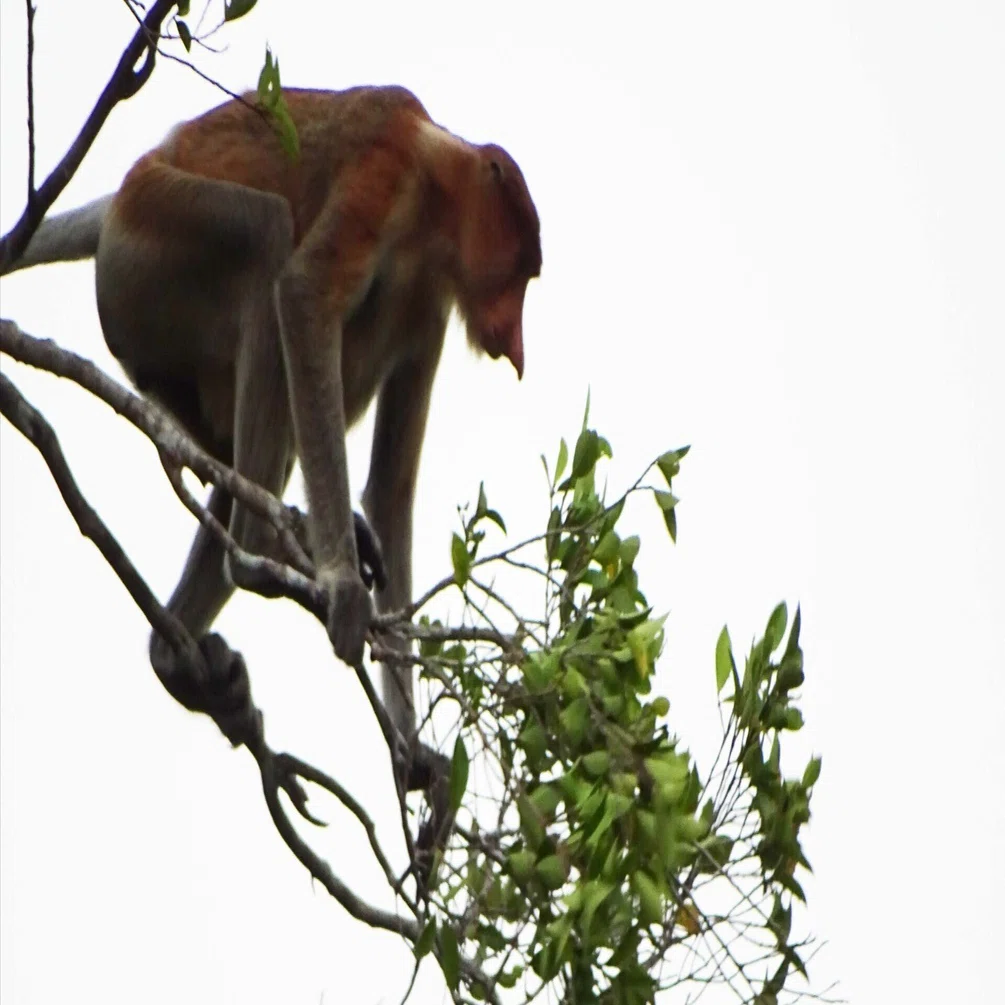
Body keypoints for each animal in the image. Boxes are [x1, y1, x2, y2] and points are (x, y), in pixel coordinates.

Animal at [4, 86, 541, 811]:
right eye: (521, 272)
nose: (516, 342)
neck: (439, 184)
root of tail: (124, 192)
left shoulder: (428, 302)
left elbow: (392, 488)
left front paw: (412, 754)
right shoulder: (387, 168)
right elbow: (304, 294)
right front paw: (344, 588)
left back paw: (182, 650)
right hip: (149, 251)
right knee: (262, 239)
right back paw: (258, 552)